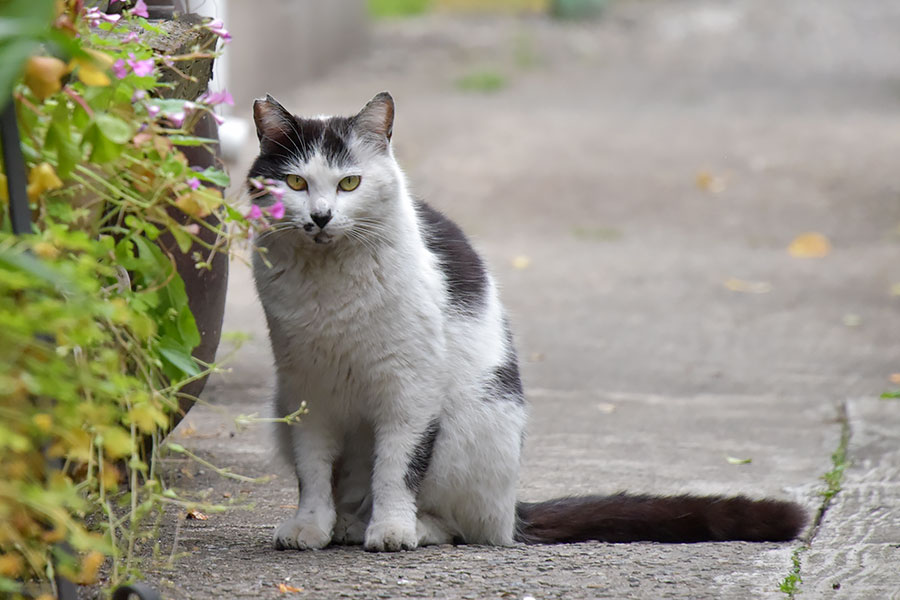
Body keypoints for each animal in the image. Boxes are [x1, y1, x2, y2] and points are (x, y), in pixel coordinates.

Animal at [246, 91, 808, 552]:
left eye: (349, 183)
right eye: (295, 182)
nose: (320, 216)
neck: (329, 288)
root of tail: (512, 511)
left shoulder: (411, 390)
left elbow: (397, 470)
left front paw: (392, 531)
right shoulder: (305, 393)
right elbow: (313, 472)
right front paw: (309, 527)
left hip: (471, 422)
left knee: (464, 524)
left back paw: (405, 527)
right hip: (284, 405)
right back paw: (344, 525)